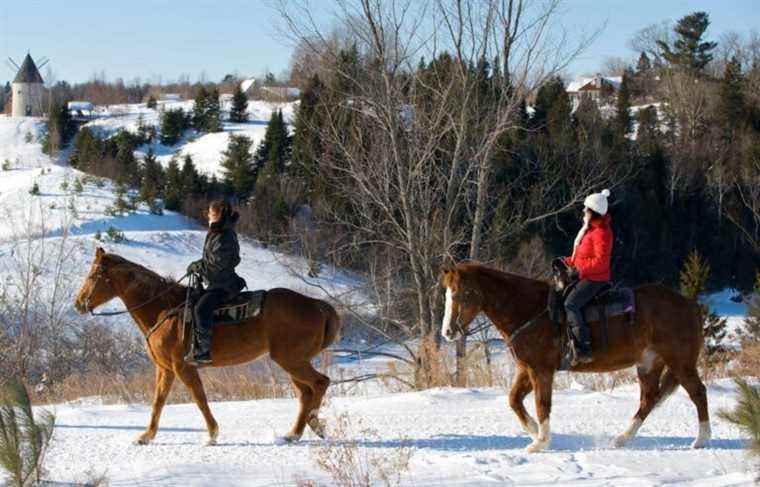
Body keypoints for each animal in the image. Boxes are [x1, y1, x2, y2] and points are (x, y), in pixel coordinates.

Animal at [74, 248, 342, 446]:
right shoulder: (165, 369)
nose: (78, 303)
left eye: (93, 275)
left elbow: (199, 397)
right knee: (306, 392)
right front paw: (146, 437)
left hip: (291, 360)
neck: (163, 310)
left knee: (320, 383)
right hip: (292, 362)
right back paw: (296, 432)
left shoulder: (183, 367)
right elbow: (158, 401)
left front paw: (212, 434)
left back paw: (313, 423)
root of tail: (317, 306)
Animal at [440, 264, 712, 454]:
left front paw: (541, 442)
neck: (531, 310)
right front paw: (536, 434)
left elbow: (542, 405)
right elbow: (514, 400)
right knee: (648, 400)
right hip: (649, 364)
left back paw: (701, 439)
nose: (447, 332)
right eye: (447, 295)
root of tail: (690, 304)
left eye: (463, 293)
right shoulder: (527, 369)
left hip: (680, 362)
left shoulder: (541, 371)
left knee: (698, 392)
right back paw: (621, 439)